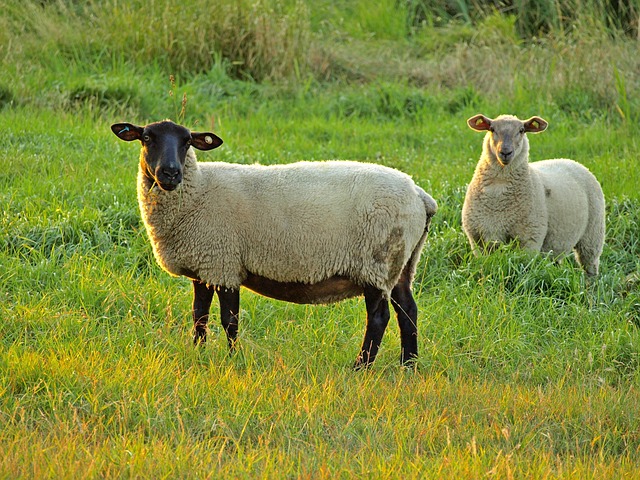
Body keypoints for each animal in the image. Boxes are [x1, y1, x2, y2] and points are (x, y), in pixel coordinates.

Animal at [112, 120, 438, 368]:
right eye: (146, 138)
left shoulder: (224, 263)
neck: (198, 190)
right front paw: (198, 353)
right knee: (408, 312)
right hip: (402, 262)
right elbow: (199, 317)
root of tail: (420, 196)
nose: (170, 173)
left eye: (187, 142)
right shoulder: (204, 267)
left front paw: (232, 359)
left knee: (379, 318)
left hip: (377, 262)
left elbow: (229, 320)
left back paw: (362, 367)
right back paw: (408, 366)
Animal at [460, 113, 604, 276]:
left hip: (592, 235)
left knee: (590, 266)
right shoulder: (478, 240)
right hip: (557, 243)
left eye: (522, 130)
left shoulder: (529, 240)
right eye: (492, 129)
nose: (505, 152)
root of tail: (572, 161)